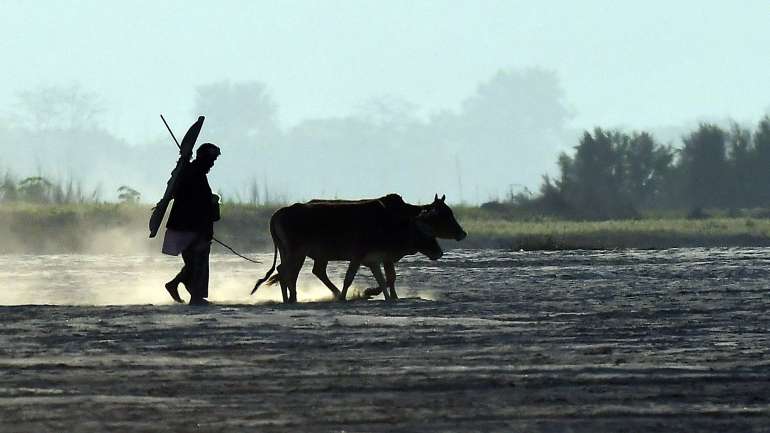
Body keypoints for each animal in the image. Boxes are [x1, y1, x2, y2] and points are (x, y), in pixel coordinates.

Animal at [251, 196, 445, 302]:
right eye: (426, 232)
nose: (439, 252)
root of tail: (279, 212)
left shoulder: (373, 260)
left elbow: (383, 280)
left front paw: (386, 297)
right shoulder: (358, 256)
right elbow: (349, 278)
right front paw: (345, 296)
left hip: (291, 253)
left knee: (288, 272)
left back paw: (289, 298)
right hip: (297, 252)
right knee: (288, 272)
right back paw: (292, 298)